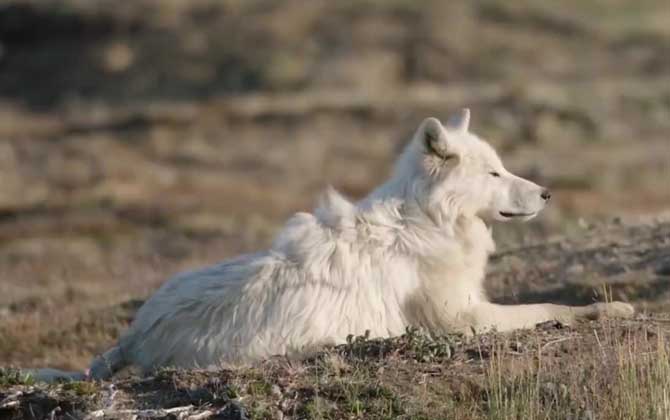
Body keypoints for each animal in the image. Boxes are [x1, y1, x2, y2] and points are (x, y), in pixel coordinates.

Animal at [30, 109, 636, 380]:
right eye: (493, 173)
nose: (548, 193)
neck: (428, 220)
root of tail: (133, 335)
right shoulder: (461, 318)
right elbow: (549, 307)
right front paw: (609, 309)